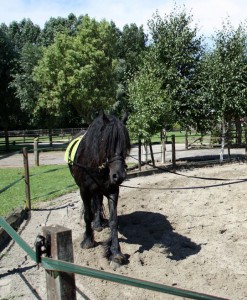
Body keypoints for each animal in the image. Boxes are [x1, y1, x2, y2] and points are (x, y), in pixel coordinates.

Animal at [69, 113, 131, 264]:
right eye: (107, 142)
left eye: (125, 144)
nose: (119, 175)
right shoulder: (84, 191)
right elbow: (87, 215)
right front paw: (87, 241)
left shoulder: (113, 190)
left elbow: (114, 220)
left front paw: (116, 252)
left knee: (98, 201)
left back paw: (97, 224)